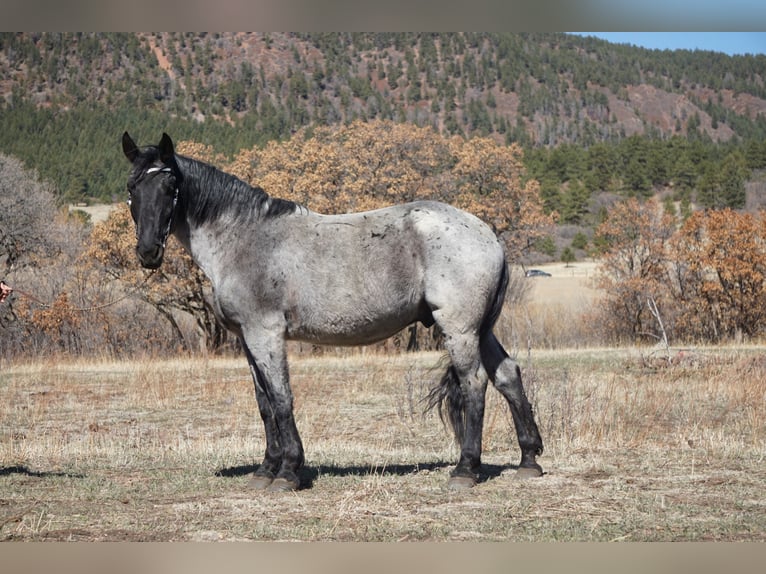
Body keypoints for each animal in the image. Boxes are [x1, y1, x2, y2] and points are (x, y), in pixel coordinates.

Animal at [121, 133, 544, 492]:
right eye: (131, 187)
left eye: (170, 187)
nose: (148, 252)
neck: (244, 238)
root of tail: (489, 235)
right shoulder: (247, 339)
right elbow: (263, 403)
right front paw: (265, 469)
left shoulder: (266, 334)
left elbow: (281, 398)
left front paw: (288, 472)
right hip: (480, 329)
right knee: (508, 375)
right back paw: (528, 461)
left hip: (460, 328)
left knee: (475, 384)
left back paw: (465, 470)